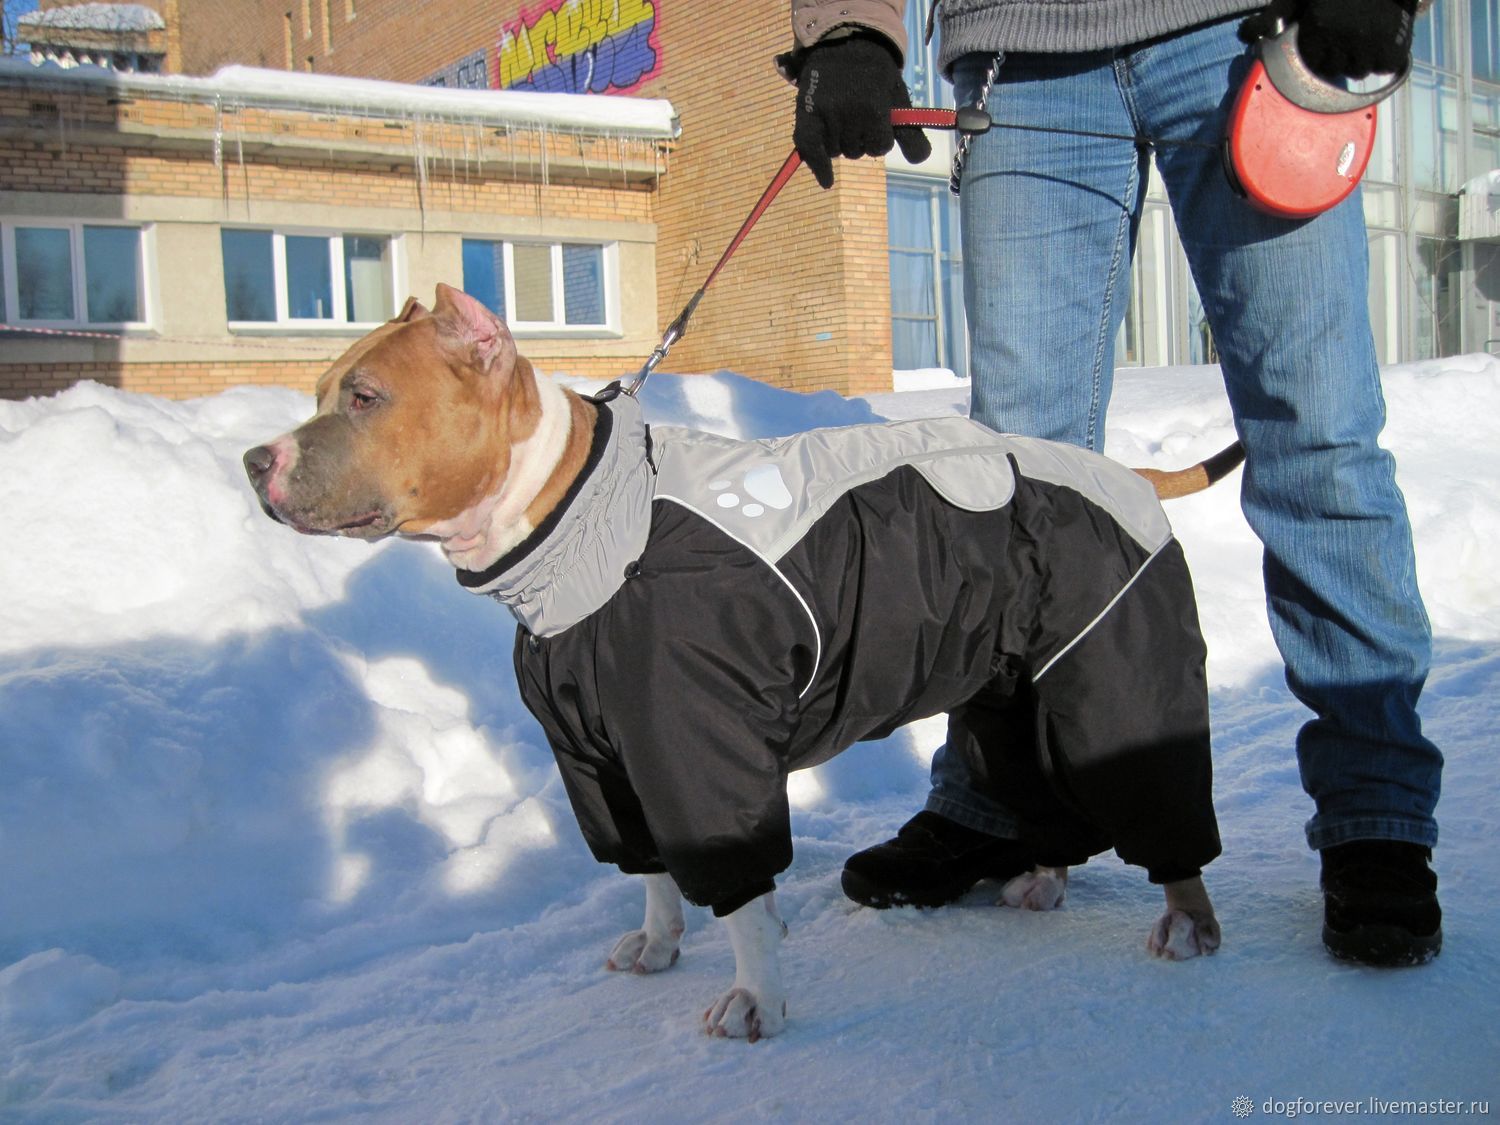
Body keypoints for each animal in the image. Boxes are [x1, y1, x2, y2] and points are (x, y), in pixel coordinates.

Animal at [246, 286, 1224, 1044]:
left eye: (365, 396)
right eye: (322, 389)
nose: (257, 458)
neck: (586, 521)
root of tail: (1124, 473)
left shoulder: (698, 756)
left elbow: (742, 893)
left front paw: (757, 997)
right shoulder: (599, 761)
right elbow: (646, 868)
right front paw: (657, 942)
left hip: (1116, 669)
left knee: (1156, 792)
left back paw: (1187, 918)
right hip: (1013, 689)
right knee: (1035, 782)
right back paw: (1046, 876)